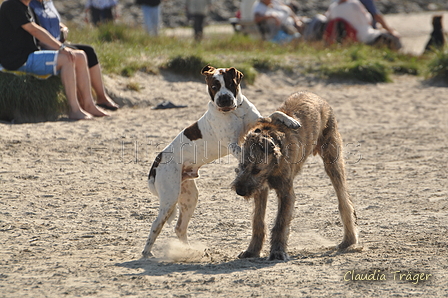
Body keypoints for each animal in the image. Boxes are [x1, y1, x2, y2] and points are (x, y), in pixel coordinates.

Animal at [142, 66, 300, 258]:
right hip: (169, 198)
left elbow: (275, 114)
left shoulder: (256, 120)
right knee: (155, 225)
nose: (224, 99)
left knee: (179, 228)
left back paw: (189, 250)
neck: (234, 111)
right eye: (214, 86)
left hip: (189, 197)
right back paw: (147, 252)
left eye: (230, 83)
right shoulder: (232, 143)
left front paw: (291, 121)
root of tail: (156, 162)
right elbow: (243, 153)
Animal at [233, 91, 358, 260]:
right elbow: (258, 220)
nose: (240, 191)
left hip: (332, 160)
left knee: (344, 200)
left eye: (257, 170)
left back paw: (349, 240)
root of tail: (316, 96)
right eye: (242, 165)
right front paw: (252, 250)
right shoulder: (260, 189)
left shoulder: (286, 193)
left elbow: (280, 223)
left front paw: (277, 251)